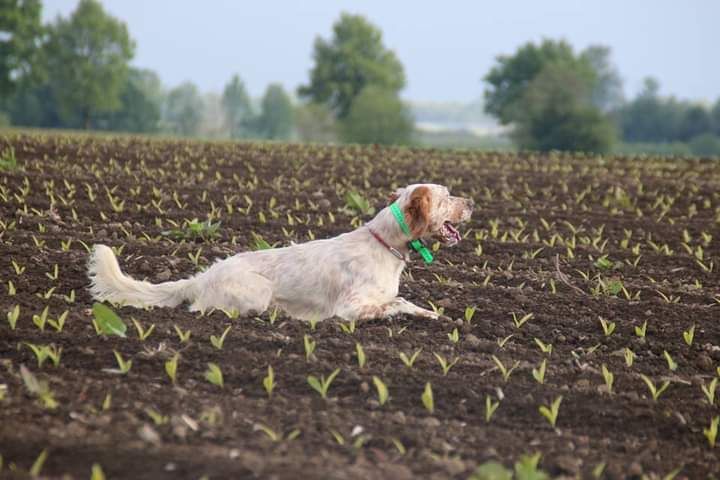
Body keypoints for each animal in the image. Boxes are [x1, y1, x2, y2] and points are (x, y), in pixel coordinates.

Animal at [88, 184, 472, 322]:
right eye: (447, 196)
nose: (471, 202)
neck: (383, 243)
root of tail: (204, 276)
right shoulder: (349, 307)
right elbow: (392, 304)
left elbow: (407, 302)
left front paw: (433, 315)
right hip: (257, 292)